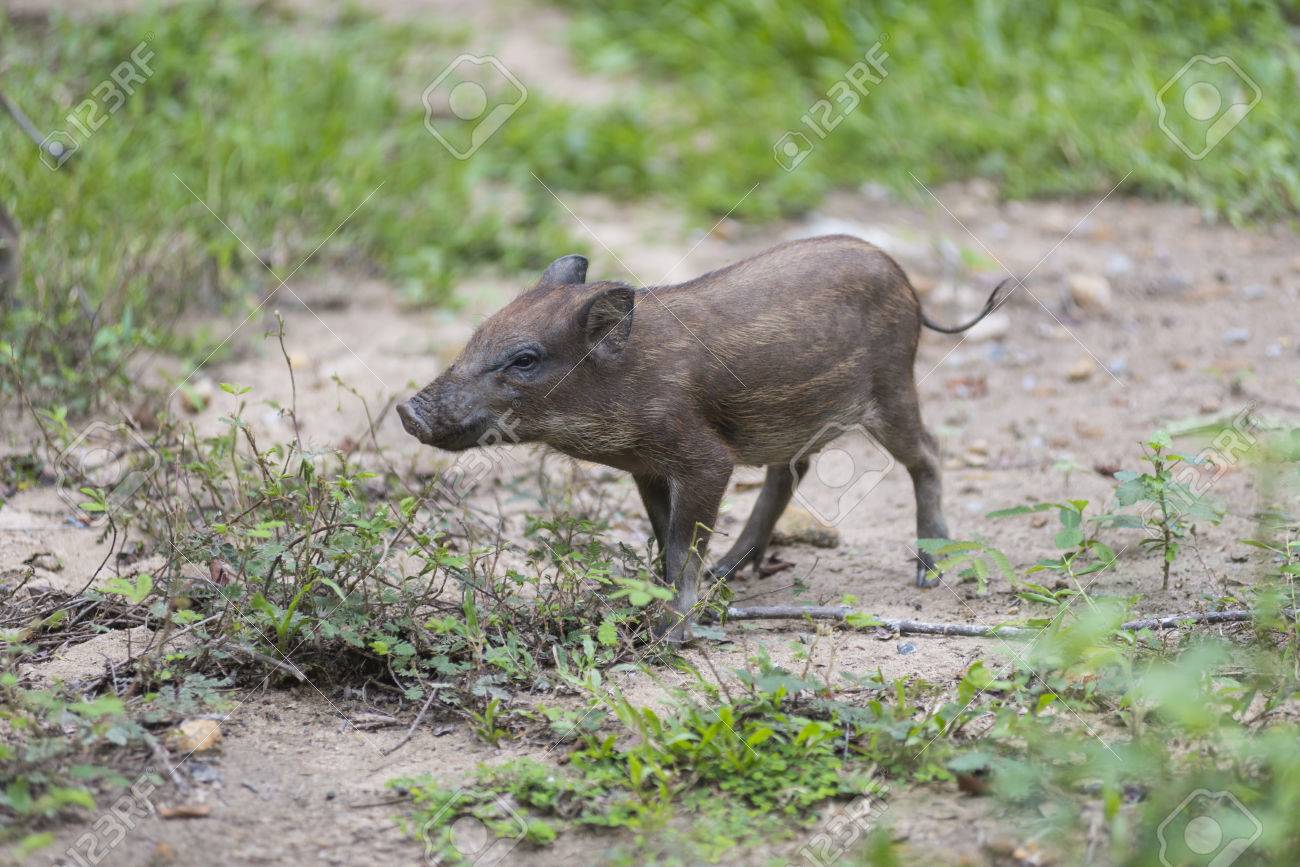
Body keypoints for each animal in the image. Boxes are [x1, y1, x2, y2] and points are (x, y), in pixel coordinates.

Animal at [398, 235, 1006, 640]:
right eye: (477, 335)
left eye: (525, 359)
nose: (408, 411)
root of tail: (908, 285)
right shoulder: (647, 466)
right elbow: (662, 536)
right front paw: (655, 604)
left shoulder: (705, 460)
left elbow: (681, 543)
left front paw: (671, 633)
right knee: (790, 475)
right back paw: (730, 573)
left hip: (891, 388)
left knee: (928, 453)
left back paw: (929, 573)